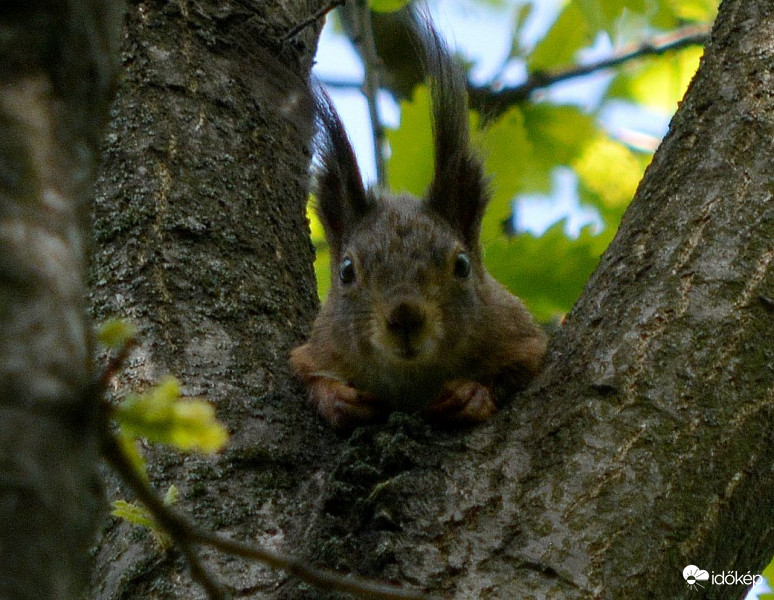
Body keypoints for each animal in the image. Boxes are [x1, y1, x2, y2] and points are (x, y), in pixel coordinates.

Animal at [292, 19, 552, 432]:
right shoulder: (316, 351)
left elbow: (523, 364)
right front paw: (338, 399)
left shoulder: (521, 336)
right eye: (346, 271)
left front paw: (470, 395)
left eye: (462, 265)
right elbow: (307, 373)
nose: (405, 316)